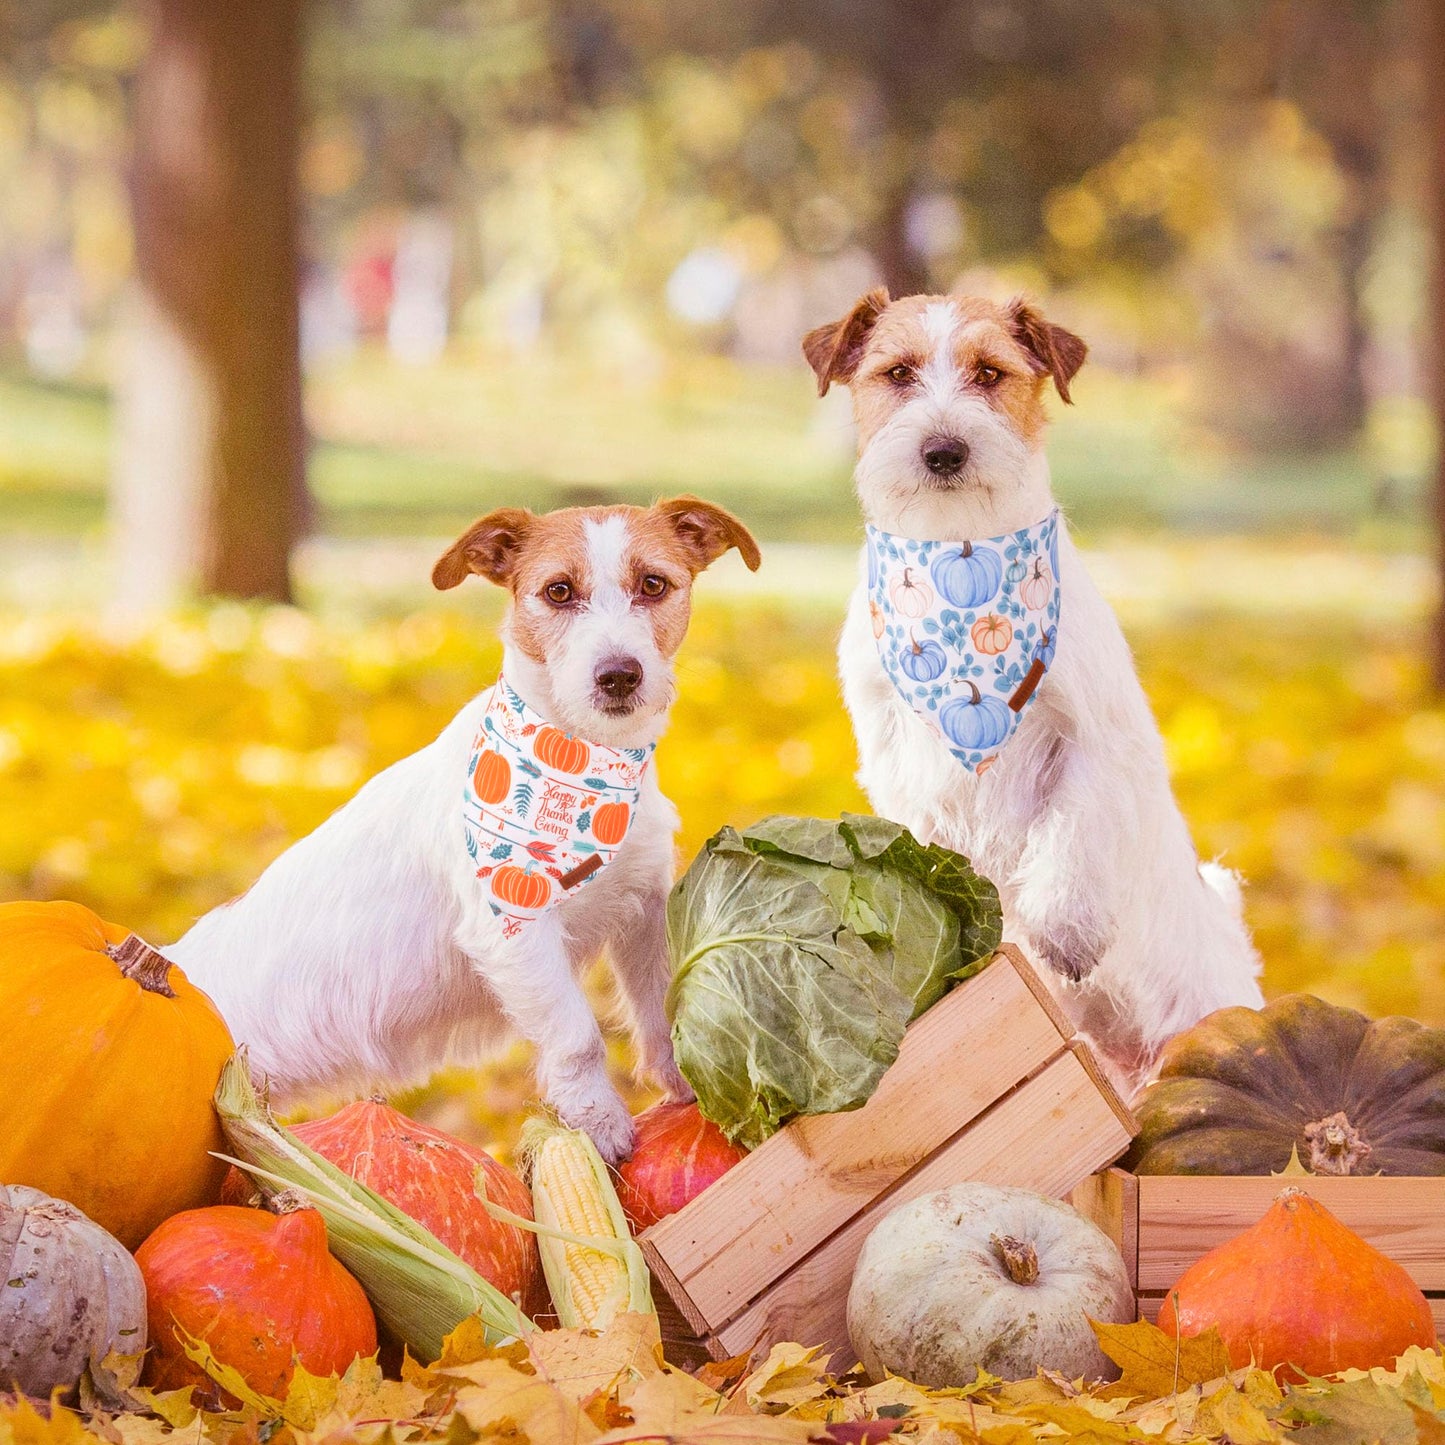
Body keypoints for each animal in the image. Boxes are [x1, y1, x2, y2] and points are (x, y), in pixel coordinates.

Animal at [170, 497, 762, 1161]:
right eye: (558, 591)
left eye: (654, 585)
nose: (618, 675)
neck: (587, 763)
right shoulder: (513, 930)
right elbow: (578, 1035)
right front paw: (598, 1121)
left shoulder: (643, 906)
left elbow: (664, 1005)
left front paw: (689, 1085)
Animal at [814, 290, 1265, 1086]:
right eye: (897, 372)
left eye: (989, 372)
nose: (943, 450)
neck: (958, 549)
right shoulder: (898, 766)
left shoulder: (1092, 742)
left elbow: (1070, 835)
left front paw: (1062, 933)